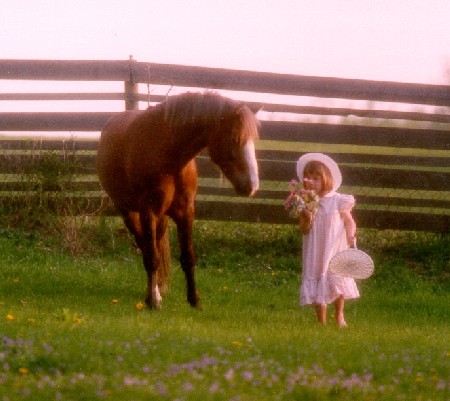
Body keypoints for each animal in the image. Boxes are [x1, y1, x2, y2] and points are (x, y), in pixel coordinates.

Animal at [96, 92, 258, 308]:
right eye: (235, 139)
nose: (252, 186)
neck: (168, 157)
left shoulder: (185, 212)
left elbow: (188, 257)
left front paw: (194, 300)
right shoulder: (148, 212)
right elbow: (152, 258)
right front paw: (154, 302)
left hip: (161, 219)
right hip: (129, 213)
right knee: (146, 248)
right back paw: (153, 294)